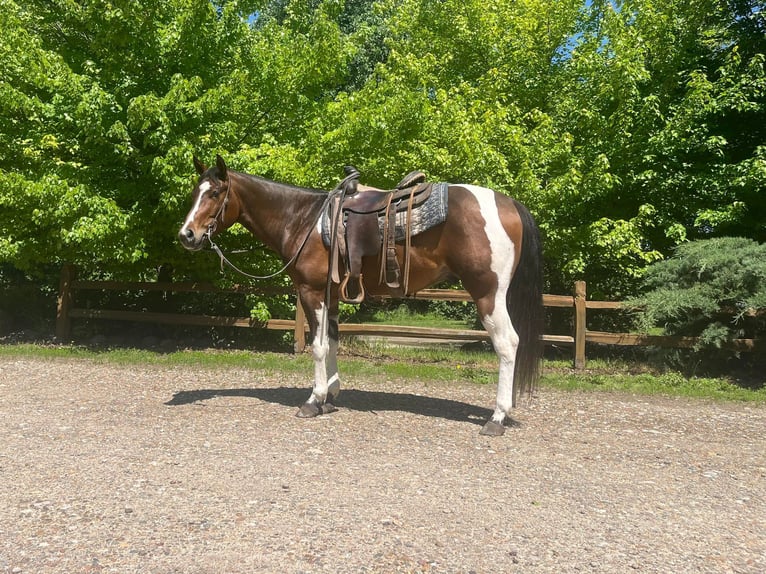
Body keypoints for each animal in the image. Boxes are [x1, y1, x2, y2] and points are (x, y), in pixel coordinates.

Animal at [178, 156, 544, 436]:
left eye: (214, 193)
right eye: (195, 192)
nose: (186, 235)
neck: (303, 220)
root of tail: (508, 203)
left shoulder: (312, 292)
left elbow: (318, 346)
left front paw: (313, 400)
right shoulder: (332, 296)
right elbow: (333, 341)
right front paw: (331, 396)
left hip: (488, 294)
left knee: (508, 344)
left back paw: (497, 417)